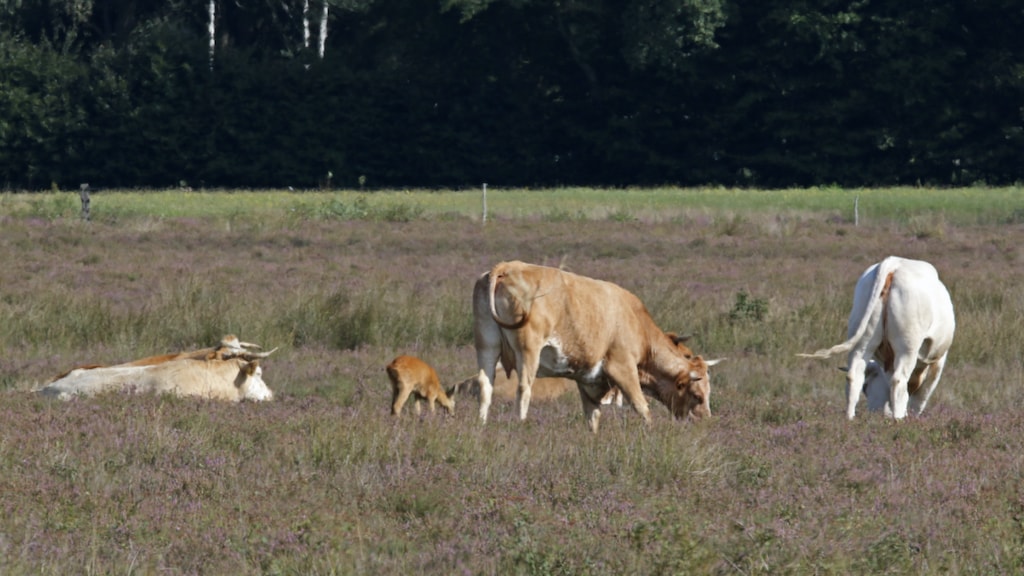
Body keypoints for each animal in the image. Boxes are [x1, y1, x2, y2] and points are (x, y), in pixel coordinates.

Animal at [473, 260, 722, 433]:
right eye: (697, 395)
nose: (706, 422)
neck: (635, 322)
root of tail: (508, 266)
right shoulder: (622, 368)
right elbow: (641, 406)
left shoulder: (588, 381)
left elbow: (592, 416)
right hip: (528, 351)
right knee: (524, 389)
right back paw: (520, 425)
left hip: (486, 345)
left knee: (486, 386)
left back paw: (481, 425)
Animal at [799, 256, 955, 420]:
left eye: (866, 387)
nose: (877, 412)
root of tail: (893, 263)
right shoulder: (938, 360)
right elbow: (921, 396)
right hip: (907, 347)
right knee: (899, 382)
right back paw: (898, 419)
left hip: (863, 340)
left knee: (854, 376)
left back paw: (850, 419)